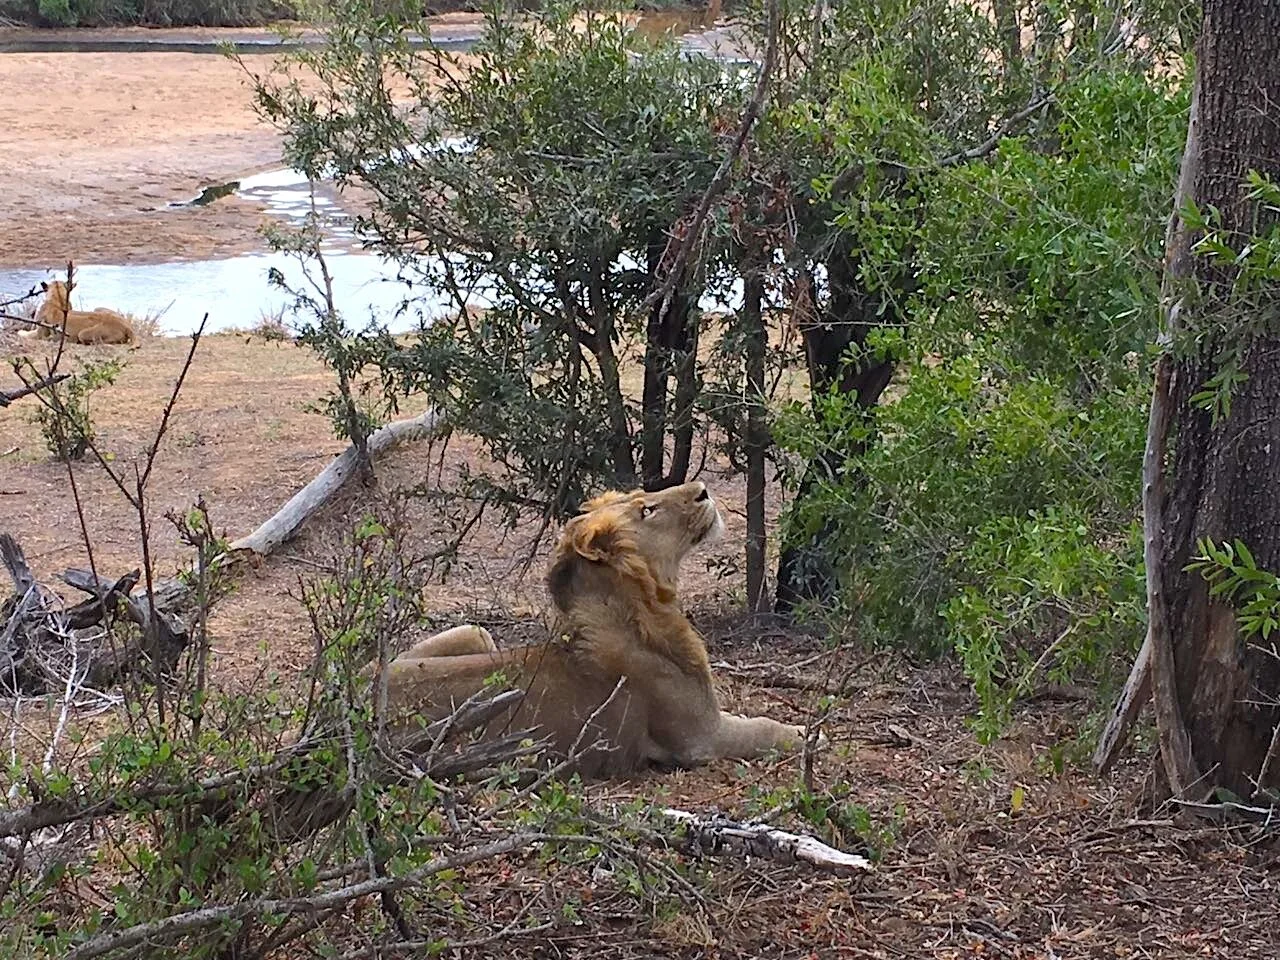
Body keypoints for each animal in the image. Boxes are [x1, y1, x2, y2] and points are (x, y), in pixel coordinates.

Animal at [379, 481, 818, 777]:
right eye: (647, 510)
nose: (702, 490)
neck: (647, 607)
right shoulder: (700, 738)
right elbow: (762, 729)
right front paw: (807, 734)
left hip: (473, 632)